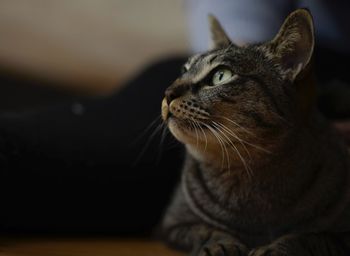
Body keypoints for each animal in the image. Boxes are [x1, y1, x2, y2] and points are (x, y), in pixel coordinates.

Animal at [160, 8, 350, 256]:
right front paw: (222, 244)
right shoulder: (175, 222)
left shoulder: (341, 234)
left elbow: (308, 236)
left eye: (220, 75)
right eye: (184, 70)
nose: (167, 93)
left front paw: (273, 248)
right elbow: (207, 230)